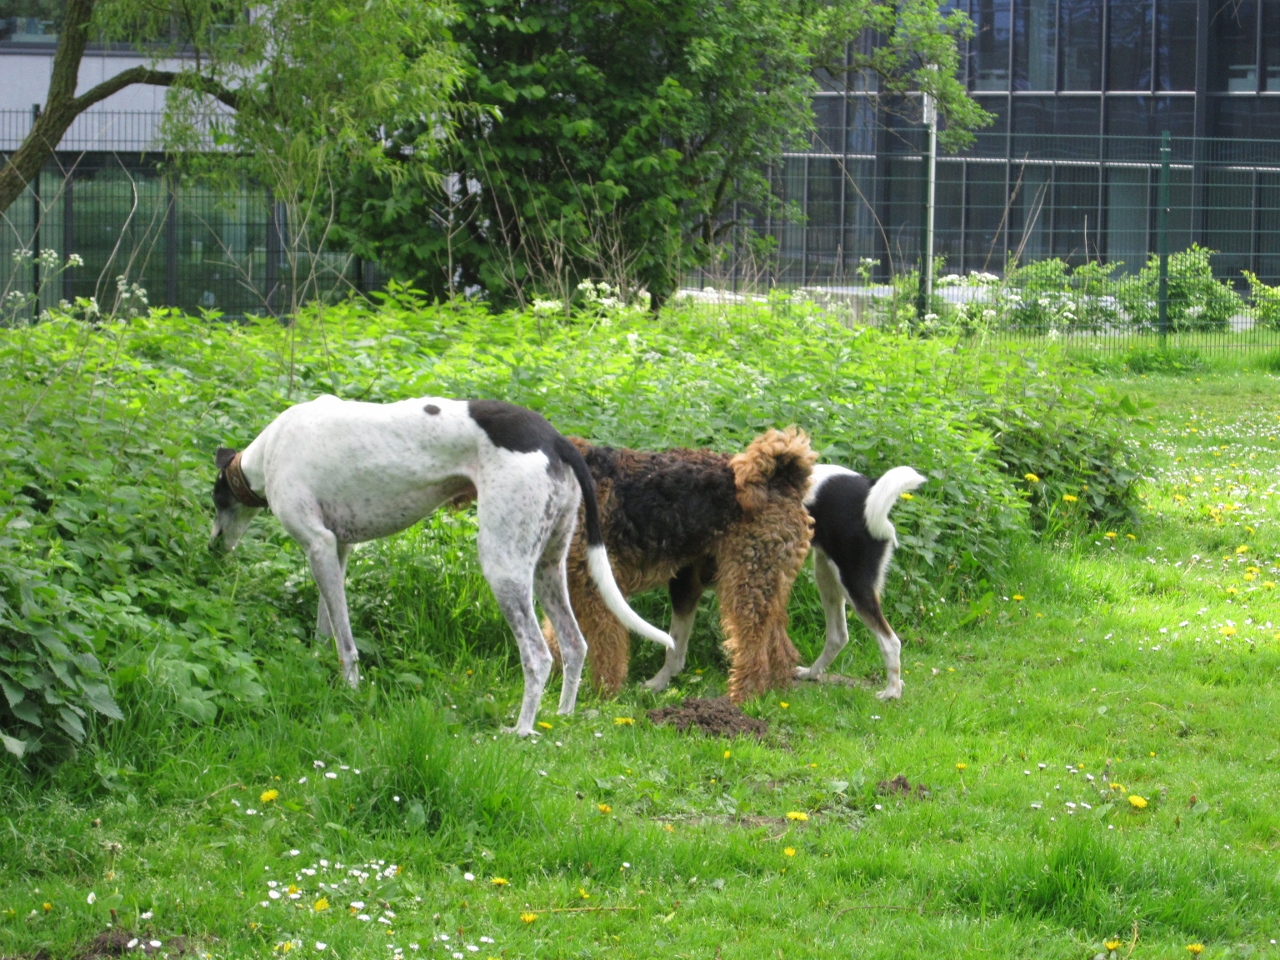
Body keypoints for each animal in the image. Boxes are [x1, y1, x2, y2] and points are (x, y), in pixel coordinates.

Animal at [208, 395, 672, 736]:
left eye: (215, 502)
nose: (213, 548)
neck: (269, 450)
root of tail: (557, 439)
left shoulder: (318, 545)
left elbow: (347, 644)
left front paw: (350, 690)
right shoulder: (336, 549)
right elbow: (329, 626)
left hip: (503, 565)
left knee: (538, 656)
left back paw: (521, 730)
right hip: (549, 566)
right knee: (575, 644)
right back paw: (562, 715)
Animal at [542, 428, 816, 702]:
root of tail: (784, 478)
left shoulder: (596, 587)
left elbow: (606, 649)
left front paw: (606, 695)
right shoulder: (570, 585)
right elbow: (557, 638)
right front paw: (552, 682)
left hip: (748, 582)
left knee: (753, 650)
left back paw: (740, 699)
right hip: (765, 582)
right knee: (779, 646)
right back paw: (776, 692)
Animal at [794, 465, 926, 699]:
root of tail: (869, 489)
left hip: (853, 583)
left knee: (891, 642)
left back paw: (891, 693)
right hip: (826, 575)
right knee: (838, 636)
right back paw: (812, 673)